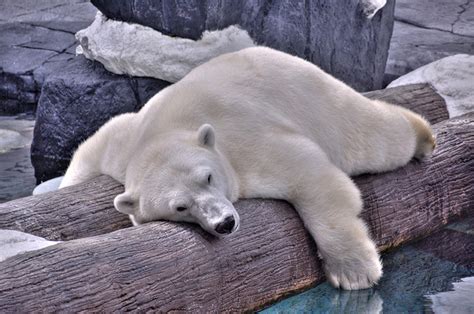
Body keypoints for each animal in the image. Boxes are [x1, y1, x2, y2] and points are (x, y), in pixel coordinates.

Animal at [58, 46, 434, 290]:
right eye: (180, 207)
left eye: (208, 177)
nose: (224, 223)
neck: (167, 129)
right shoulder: (125, 144)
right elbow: (88, 151)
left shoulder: (242, 144)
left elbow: (310, 173)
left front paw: (354, 272)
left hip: (317, 101)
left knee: (372, 138)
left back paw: (423, 136)